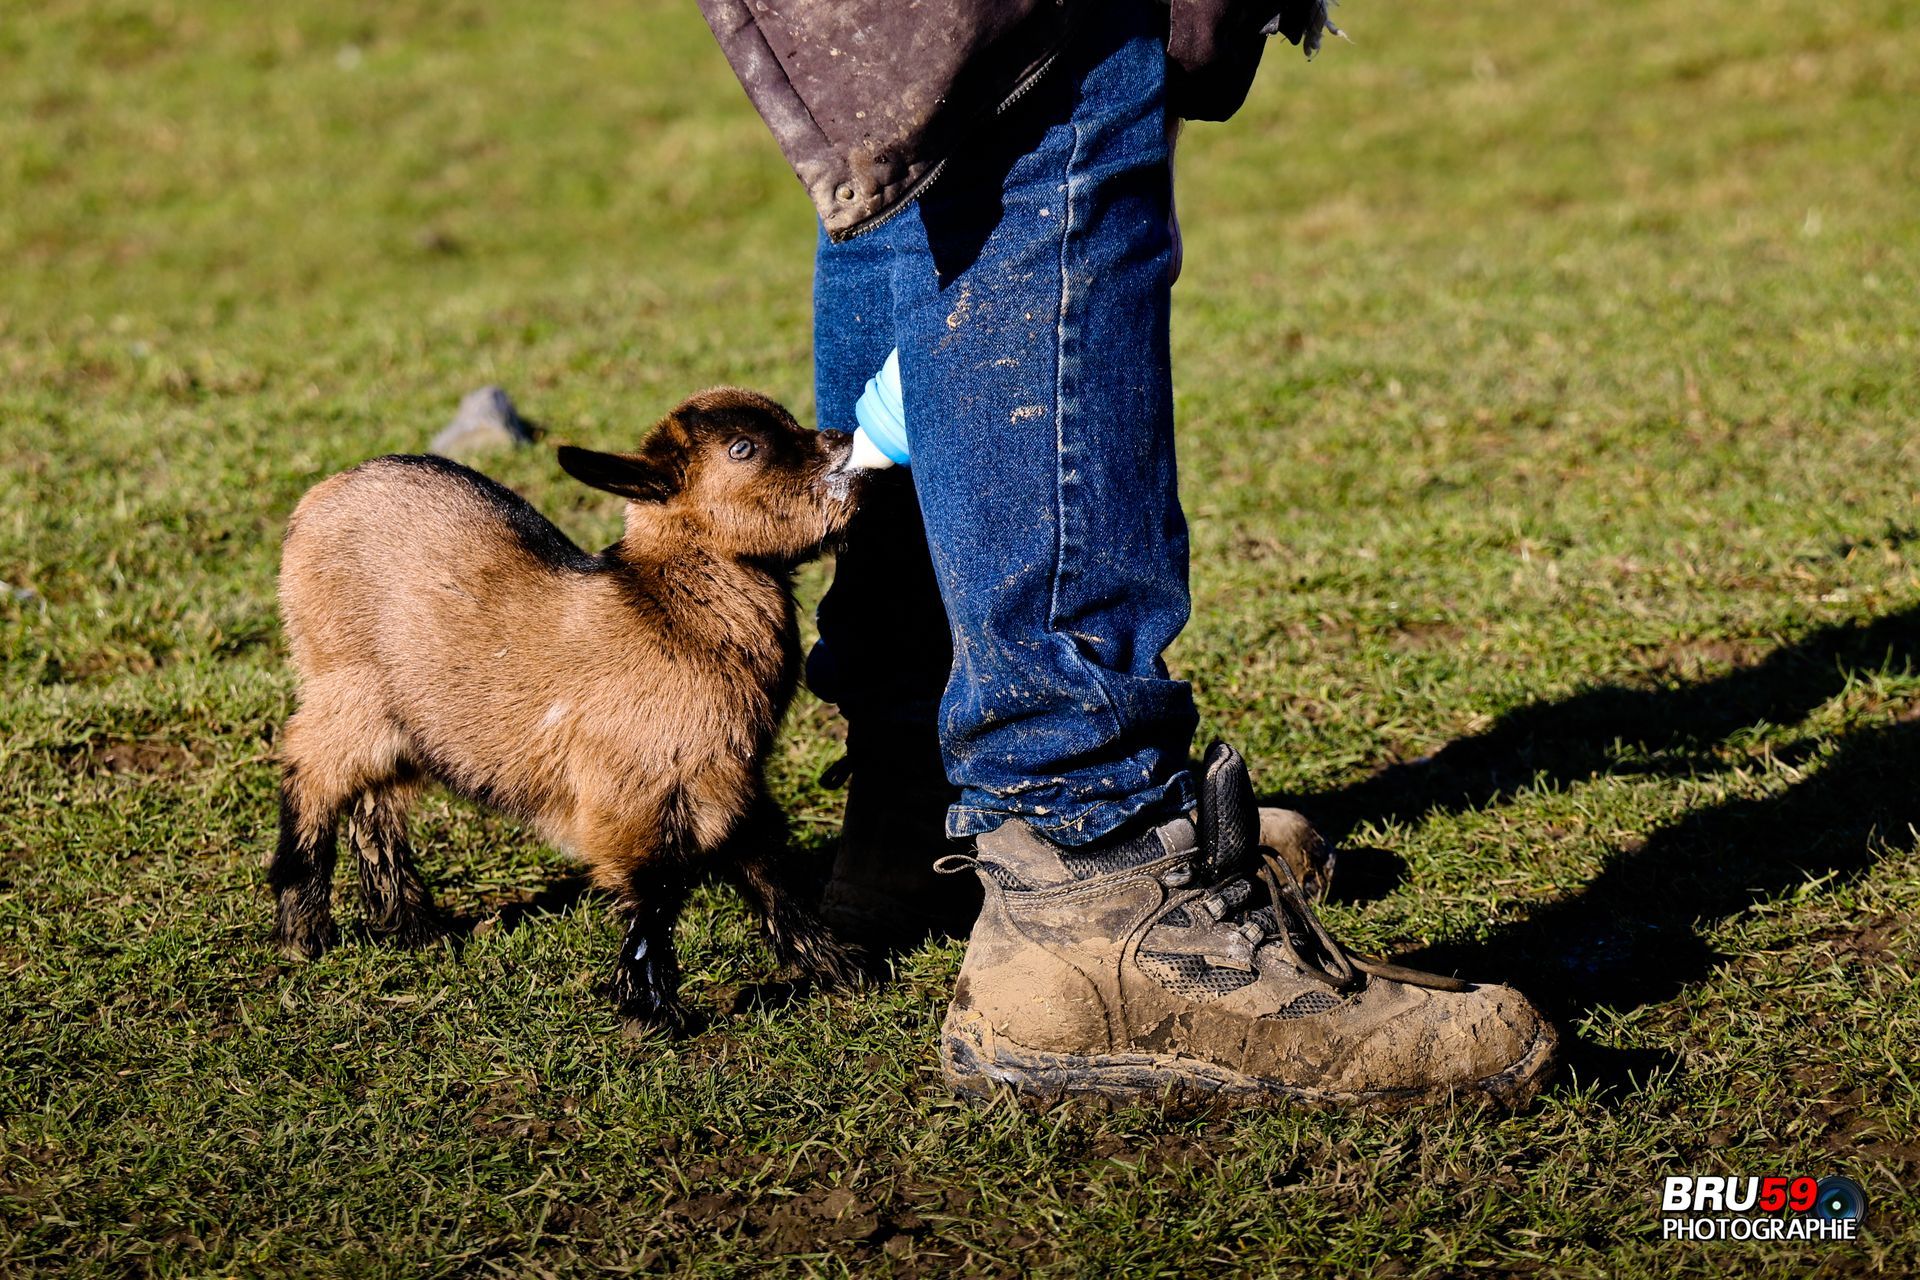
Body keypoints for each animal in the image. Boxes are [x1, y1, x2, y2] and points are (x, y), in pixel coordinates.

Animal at [268, 391, 864, 1028]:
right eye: (743, 447)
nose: (841, 441)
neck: (671, 613)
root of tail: (322, 495)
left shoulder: (727, 779)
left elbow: (768, 872)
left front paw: (837, 966)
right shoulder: (633, 789)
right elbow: (654, 891)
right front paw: (651, 1010)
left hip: (400, 723)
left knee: (375, 801)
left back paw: (413, 926)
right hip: (347, 687)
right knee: (310, 772)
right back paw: (302, 929)